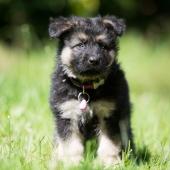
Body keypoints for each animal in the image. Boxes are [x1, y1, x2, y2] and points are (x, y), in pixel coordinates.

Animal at [48, 15, 134, 167]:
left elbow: (109, 143)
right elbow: (71, 145)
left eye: (103, 46)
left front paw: (109, 162)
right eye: (80, 45)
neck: (86, 87)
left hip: (124, 122)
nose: (94, 60)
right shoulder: (67, 114)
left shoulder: (108, 114)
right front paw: (72, 163)